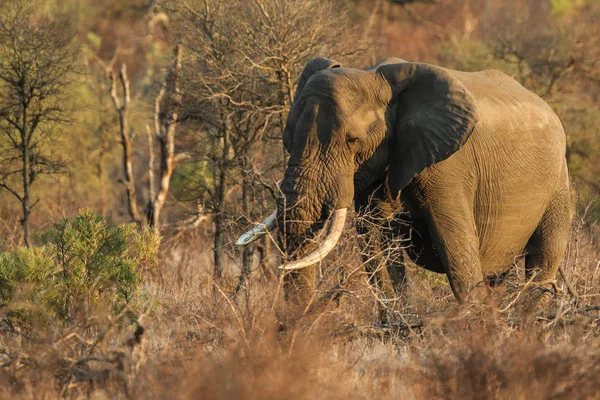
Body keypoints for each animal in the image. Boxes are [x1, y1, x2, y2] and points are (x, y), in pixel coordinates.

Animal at [239, 56, 572, 304]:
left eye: (352, 140)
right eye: (287, 138)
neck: (379, 80)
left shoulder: (449, 167)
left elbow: (456, 247)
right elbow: (376, 247)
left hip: (559, 182)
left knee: (543, 261)